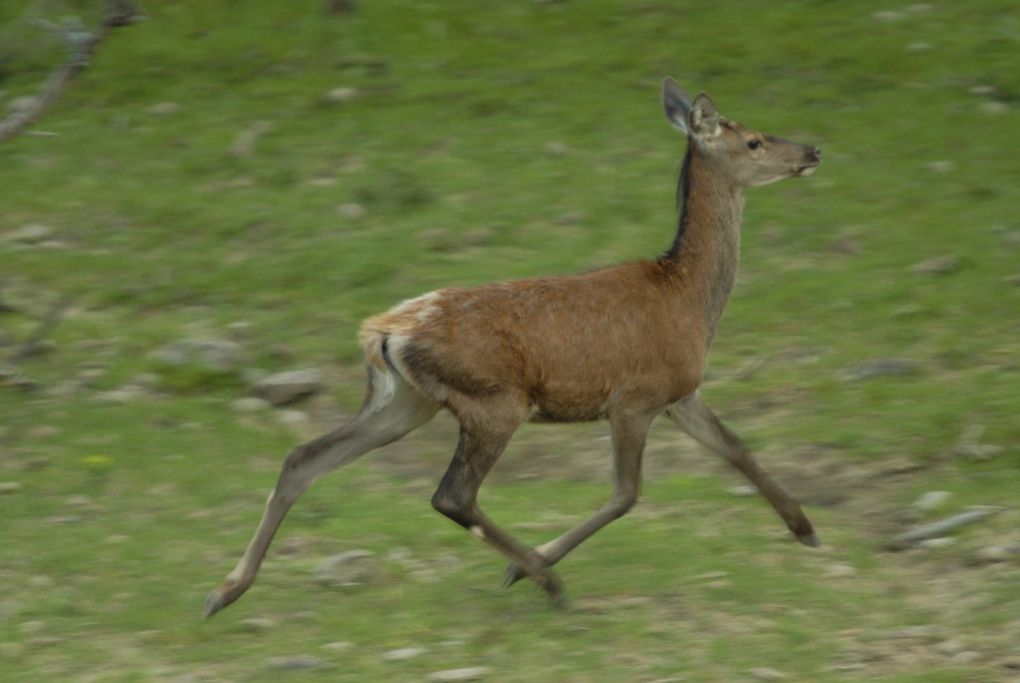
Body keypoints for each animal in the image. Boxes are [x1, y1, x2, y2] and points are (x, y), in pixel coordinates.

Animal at [202, 80, 824, 619]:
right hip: (494, 401)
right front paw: (529, 567)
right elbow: (626, 493)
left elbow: (737, 448)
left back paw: (224, 590)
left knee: (304, 457)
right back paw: (545, 578)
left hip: (404, 401)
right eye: (753, 140)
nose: (813, 149)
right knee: (452, 496)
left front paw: (807, 529)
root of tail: (384, 331)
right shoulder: (634, 398)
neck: (690, 300)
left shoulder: (679, 393)